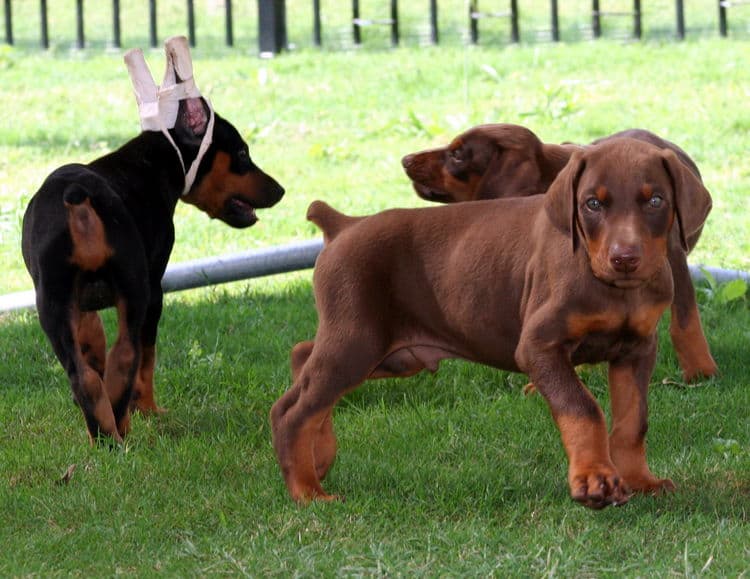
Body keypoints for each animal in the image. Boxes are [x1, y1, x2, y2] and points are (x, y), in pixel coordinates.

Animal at [22, 39, 284, 444]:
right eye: (242, 153)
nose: (280, 190)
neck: (151, 163)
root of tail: (78, 196)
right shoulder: (155, 290)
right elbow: (148, 356)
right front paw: (149, 410)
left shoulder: (81, 305)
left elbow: (93, 345)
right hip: (136, 290)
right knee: (127, 357)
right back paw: (124, 424)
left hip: (51, 301)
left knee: (84, 376)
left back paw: (103, 435)